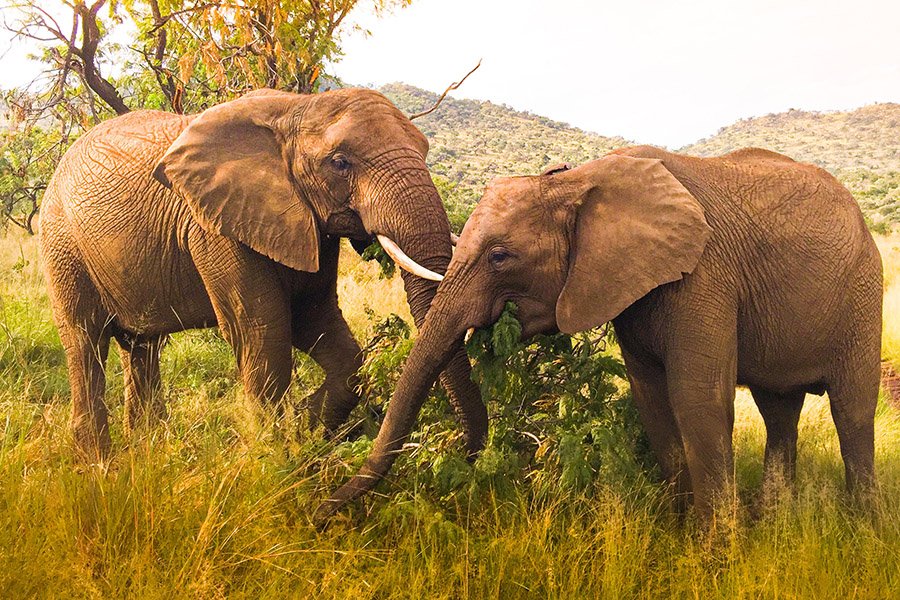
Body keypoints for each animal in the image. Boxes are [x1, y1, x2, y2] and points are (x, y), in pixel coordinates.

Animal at [40, 88, 486, 461]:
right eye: (340, 163)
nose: (465, 450)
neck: (296, 107)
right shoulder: (215, 229)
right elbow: (261, 332)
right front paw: (278, 460)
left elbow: (323, 330)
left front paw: (305, 426)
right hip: (62, 243)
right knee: (84, 338)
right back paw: (99, 466)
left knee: (142, 345)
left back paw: (150, 450)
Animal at [320, 145, 882, 521]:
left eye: (501, 256)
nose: (320, 509)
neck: (579, 181)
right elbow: (653, 400)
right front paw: (678, 535)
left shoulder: (705, 275)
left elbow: (697, 399)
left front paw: (712, 556)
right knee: (779, 411)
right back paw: (777, 524)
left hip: (863, 293)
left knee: (852, 412)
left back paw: (862, 532)